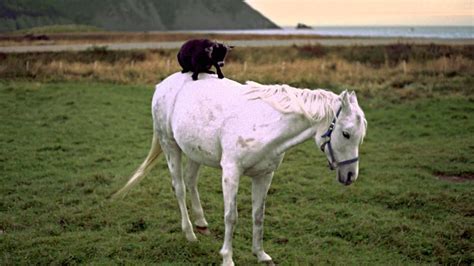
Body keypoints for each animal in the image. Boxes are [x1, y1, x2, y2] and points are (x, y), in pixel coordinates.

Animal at [114, 71, 366, 264]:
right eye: (346, 134)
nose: (350, 176)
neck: (264, 124)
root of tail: (163, 84)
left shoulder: (264, 176)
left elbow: (258, 215)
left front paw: (261, 254)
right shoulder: (231, 173)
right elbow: (231, 216)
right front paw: (227, 258)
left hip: (194, 152)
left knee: (191, 182)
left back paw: (201, 223)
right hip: (170, 146)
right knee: (179, 188)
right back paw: (190, 233)